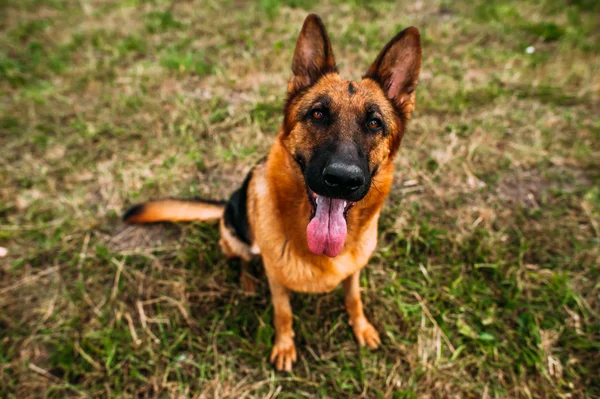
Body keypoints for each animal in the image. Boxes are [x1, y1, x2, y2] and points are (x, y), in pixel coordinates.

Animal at [123, 14, 422, 374]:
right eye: (318, 114)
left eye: (375, 123)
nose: (341, 179)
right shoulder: (277, 280)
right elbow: (283, 313)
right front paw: (284, 346)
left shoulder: (353, 271)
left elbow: (353, 297)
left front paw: (361, 327)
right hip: (234, 236)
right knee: (243, 260)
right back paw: (248, 282)